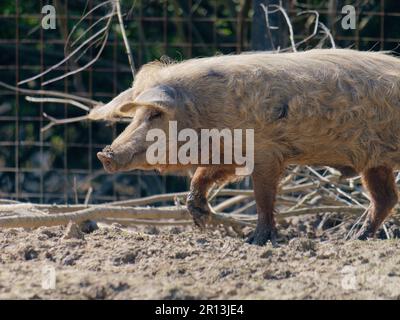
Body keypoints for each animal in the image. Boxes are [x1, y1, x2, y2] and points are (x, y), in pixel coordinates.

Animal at [92, 49, 400, 245]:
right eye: (136, 116)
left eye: (155, 114)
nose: (104, 154)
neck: (205, 114)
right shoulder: (228, 154)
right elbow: (202, 176)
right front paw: (201, 221)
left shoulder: (264, 154)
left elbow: (262, 198)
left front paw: (256, 241)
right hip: (376, 162)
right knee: (385, 199)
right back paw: (353, 237)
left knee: (385, 199)